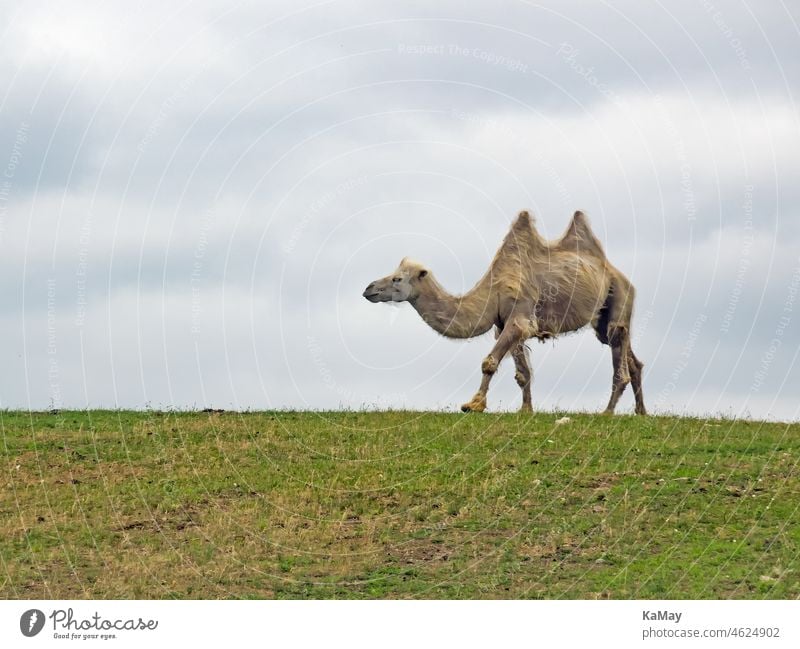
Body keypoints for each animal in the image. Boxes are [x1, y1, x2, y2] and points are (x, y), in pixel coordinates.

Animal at [366, 213, 648, 416]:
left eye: (397, 278)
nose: (368, 289)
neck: (492, 291)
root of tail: (619, 275)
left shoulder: (520, 318)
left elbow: (489, 362)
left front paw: (474, 404)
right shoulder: (505, 325)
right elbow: (522, 373)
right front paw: (526, 410)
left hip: (619, 297)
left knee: (619, 351)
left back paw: (607, 412)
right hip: (602, 317)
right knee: (631, 358)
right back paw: (641, 412)